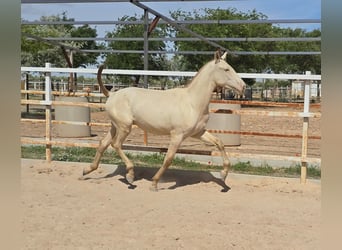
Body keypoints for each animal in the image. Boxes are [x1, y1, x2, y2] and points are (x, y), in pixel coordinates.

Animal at [82, 50, 246, 191]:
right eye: (226, 69)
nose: (243, 86)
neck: (192, 103)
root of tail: (112, 94)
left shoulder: (198, 133)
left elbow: (220, 143)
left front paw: (223, 175)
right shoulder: (177, 135)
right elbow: (168, 159)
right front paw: (154, 183)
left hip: (115, 126)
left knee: (103, 144)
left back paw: (87, 170)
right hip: (124, 127)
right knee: (116, 144)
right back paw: (130, 175)